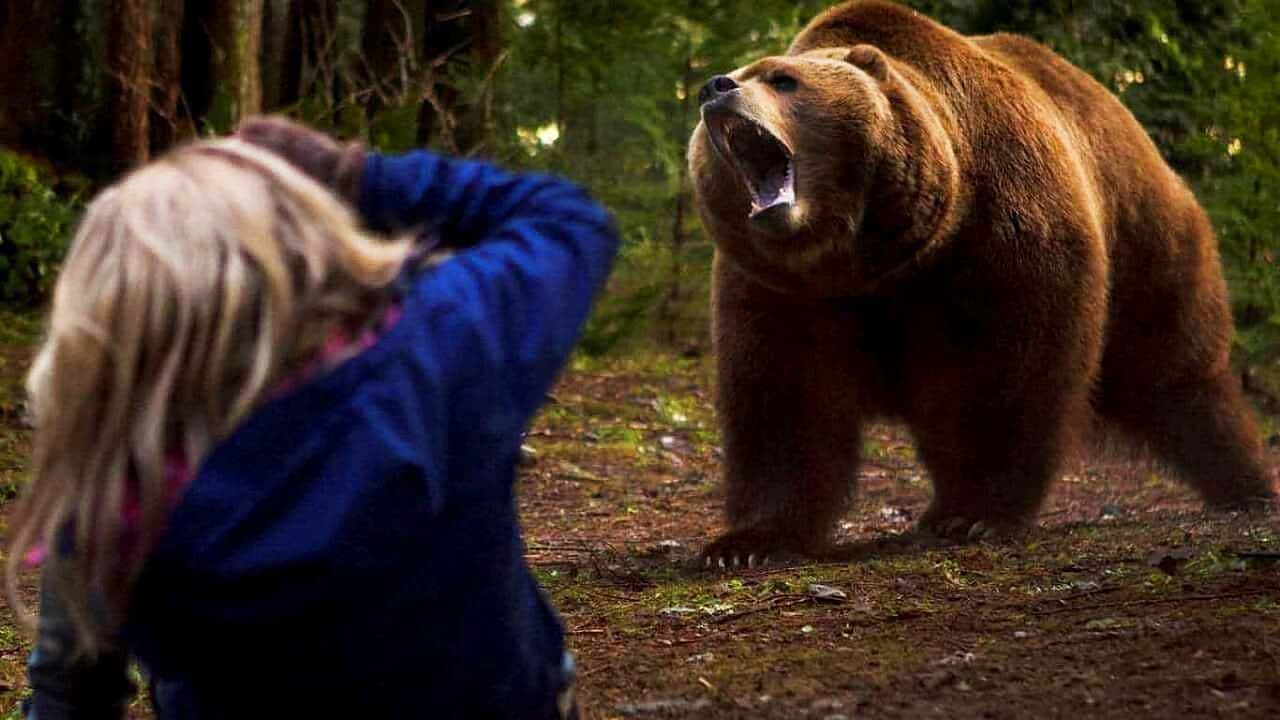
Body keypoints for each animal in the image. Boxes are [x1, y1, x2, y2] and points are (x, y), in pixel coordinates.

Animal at [687, 0, 1276, 566]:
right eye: (742, 71)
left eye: (782, 78)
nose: (715, 87)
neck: (869, 257)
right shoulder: (780, 290)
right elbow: (783, 400)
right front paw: (746, 543)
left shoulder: (999, 235)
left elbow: (1003, 376)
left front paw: (973, 515)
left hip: (1146, 239)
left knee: (1176, 372)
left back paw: (1245, 485)